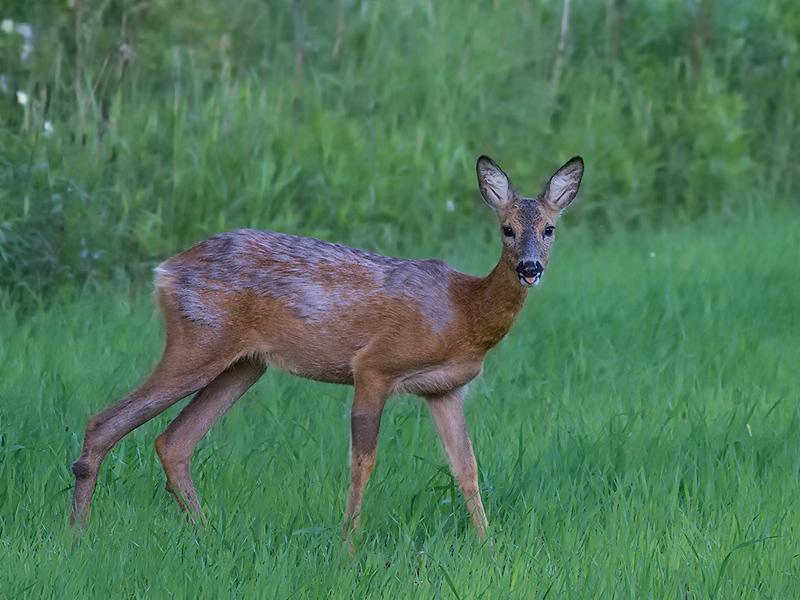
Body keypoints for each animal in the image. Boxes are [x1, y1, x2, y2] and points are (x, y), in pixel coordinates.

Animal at [70, 154, 580, 552]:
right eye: (507, 229)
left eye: (550, 229)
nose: (529, 268)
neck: (463, 312)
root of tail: (166, 271)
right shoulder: (374, 366)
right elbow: (362, 463)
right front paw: (347, 550)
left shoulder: (446, 390)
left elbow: (467, 469)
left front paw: (489, 548)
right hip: (199, 342)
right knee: (104, 422)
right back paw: (76, 537)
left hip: (244, 364)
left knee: (173, 441)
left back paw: (207, 534)